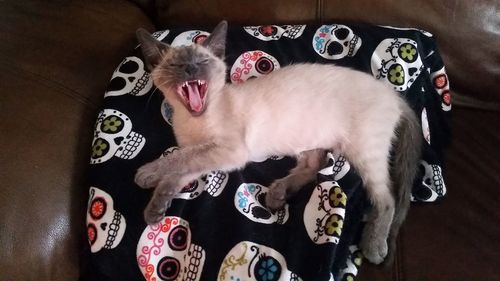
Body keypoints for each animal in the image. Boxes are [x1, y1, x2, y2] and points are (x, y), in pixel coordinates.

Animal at [134, 20, 422, 264]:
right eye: (175, 66)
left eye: (202, 60)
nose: (190, 69)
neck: (194, 119)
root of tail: (394, 95)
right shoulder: (208, 154)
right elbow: (178, 173)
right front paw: (155, 209)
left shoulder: (228, 151)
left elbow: (177, 159)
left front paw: (146, 174)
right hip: (310, 137)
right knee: (313, 166)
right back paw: (277, 195)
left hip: (363, 151)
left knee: (387, 198)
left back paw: (373, 247)